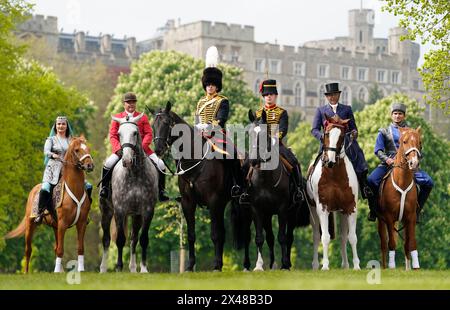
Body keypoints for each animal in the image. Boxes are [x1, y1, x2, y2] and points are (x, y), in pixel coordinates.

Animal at [5, 137, 94, 272]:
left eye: (88, 148)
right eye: (77, 150)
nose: (90, 165)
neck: (75, 190)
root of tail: (34, 189)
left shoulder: (81, 223)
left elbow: (80, 248)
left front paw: (81, 270)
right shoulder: (63, 223)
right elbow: (60, 250)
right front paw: (56, 271)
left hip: (55, 226)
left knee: (54, 247)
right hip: (31, 224)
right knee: (28, 250)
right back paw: (26, 273)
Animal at [99, 113, 158, 272]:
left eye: (135, 133)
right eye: (119, 133)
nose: (126, 160)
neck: (134, 174)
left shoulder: (147, 211)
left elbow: (143, 239)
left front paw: (143, 268)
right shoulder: (120, 210)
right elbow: (120, 240)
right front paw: (119, 267)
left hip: (136, 215)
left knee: (133, 238)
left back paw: (132, 268)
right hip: (106, 211)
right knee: (106, 239)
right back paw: (103, 268)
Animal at [153, 101, 248, 272]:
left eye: (166, 123)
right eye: (153, 125)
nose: (158, 149)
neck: (194, 160)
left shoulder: (214, 202)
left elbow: (215, 234)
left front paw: (216, 265)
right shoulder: (188, 203)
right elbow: (191, 235)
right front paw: (190, 266)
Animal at [306, 115, 358, 270]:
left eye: (341, 136)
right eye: (327, 133)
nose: (329, 161)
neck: (334, 174)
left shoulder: (350, 207)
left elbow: (352, 237)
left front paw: (357, 266)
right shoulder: (322, 208)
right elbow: (325, 237)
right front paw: (325, 266)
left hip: (342, 212)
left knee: (343, 237)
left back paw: (346, 265)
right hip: (313, 212)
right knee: (316, 236)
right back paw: (316, 265)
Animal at [378, 127, 424, 270]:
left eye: (420, 142)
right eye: (404, 141)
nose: (414, 163)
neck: (402, 182)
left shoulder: (411, 217)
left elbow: (411, 243)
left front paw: (416, 267)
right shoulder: (388, 217)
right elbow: (391, 242)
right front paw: (392, 266)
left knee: (406, 243)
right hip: (381, 221)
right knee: (383, 243)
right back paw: (385, 267)